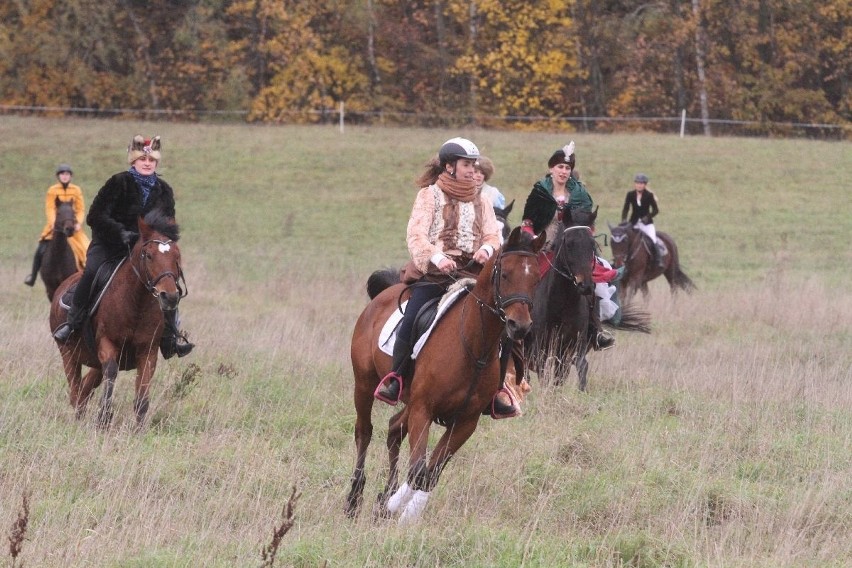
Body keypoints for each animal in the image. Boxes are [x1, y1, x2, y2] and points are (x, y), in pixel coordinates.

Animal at [49, 211, 186, 428]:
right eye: (148, 256)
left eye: (177, 256)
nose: (170, 296)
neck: (136, 304)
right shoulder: (107, 345)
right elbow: (111, 372)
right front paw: (104, 419)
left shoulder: (148, 351)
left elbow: (142, 395)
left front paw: (139, 429)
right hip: (68, 354)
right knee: (76, 392)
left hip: (93, 362)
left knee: (85, 389)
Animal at [346, 226, 544, 524]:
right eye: (505, 274)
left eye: (535, 278)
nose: (519, 326)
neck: (473, 346)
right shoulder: (423, 410)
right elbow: (419, 471)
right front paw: (395, 510)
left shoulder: (464, 422)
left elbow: (430, 474)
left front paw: (394, 510)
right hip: (365, 384)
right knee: (364, 432)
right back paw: (354, 499)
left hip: (408, 397)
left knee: (393, 429)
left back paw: (385, 494)